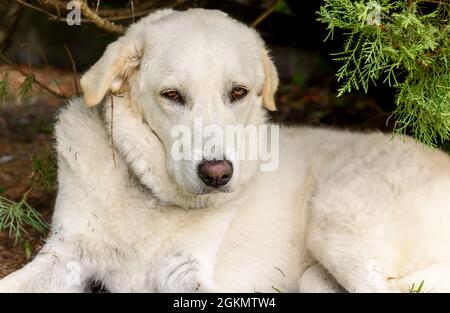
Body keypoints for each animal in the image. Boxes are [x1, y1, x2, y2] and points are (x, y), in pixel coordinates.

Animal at [0, 8, 450, 292]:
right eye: (172, 95)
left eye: (238, 92)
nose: (217, 174)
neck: (149, 196)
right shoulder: (64, 254)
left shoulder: (185, 270)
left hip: (336, 226)